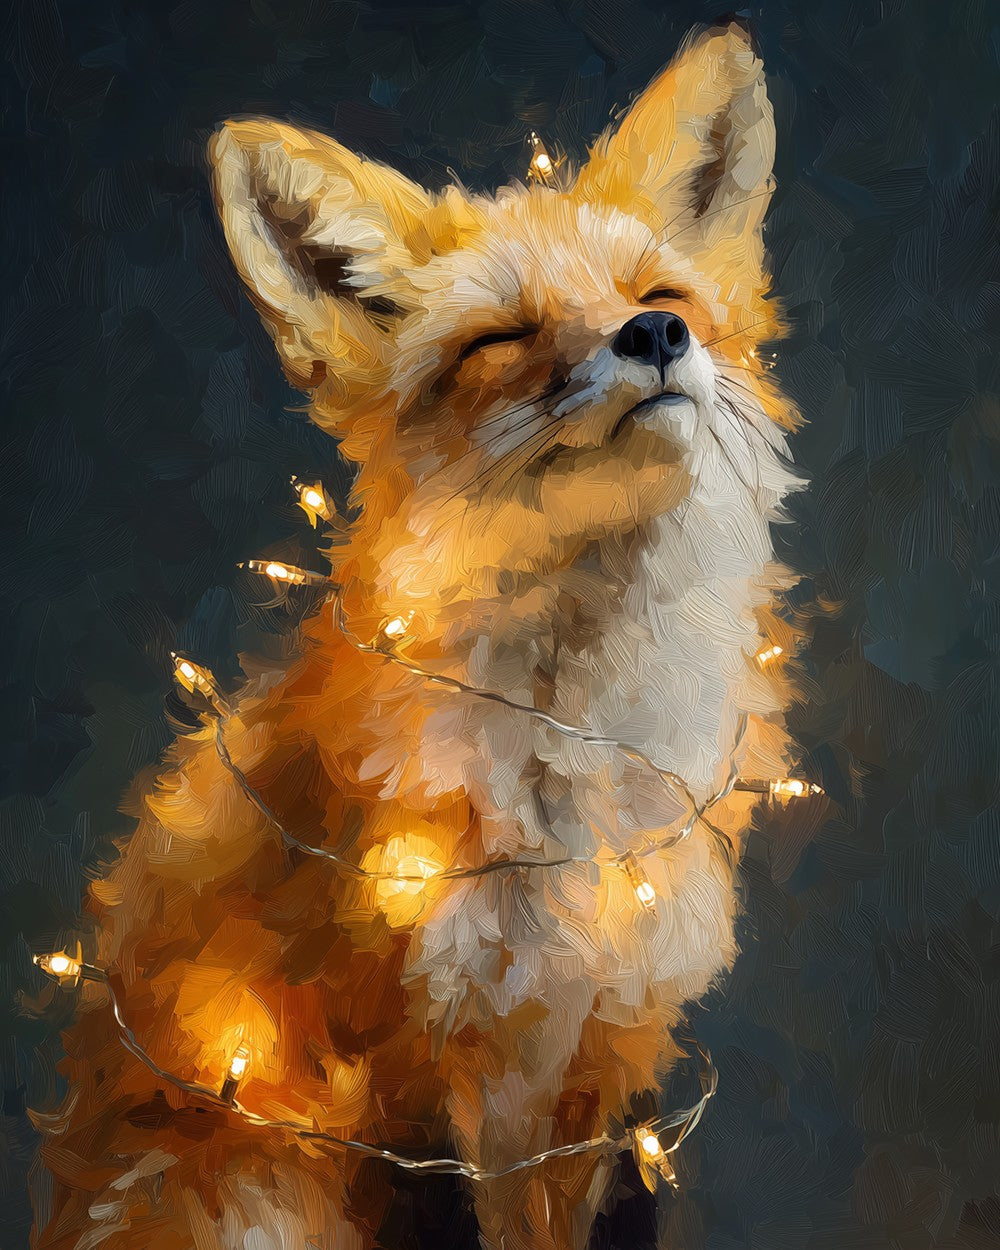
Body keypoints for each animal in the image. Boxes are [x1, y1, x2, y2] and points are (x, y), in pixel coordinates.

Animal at [31, 21, 812, 1250]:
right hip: (259, 1187)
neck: (574, 757)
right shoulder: (398, 1084)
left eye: (658, 290)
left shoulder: (607, 1068)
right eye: (499, 338)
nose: (655, 334)